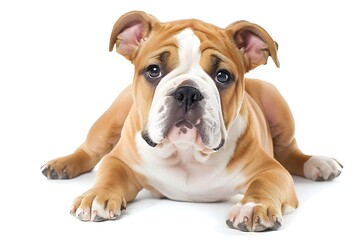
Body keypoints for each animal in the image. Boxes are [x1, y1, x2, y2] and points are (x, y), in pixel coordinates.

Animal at [40, 10, 342, 231]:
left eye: (222, 76)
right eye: (153, 70)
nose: (187, 91)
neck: (186, 154)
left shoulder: (271, 170)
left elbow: (265, 183)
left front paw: (253, 206)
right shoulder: (120, 160)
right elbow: (109, 173)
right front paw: (96, 196)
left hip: (275, 100)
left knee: (290, 152)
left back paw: (318, 164)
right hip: (112, 117)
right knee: (90, 150)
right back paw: (62, 164)